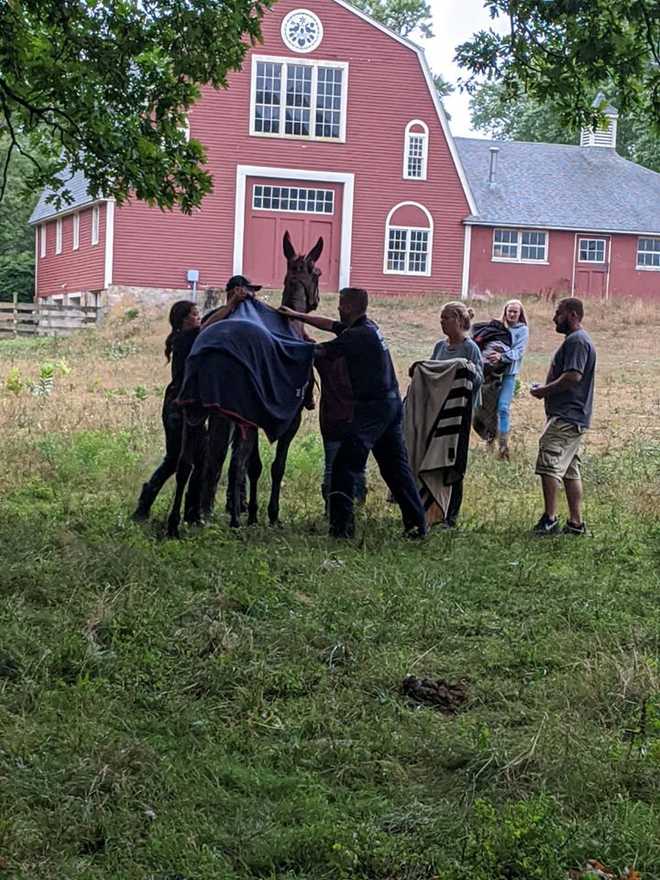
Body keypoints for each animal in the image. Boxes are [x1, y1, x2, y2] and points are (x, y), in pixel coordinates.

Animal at [168, 232, 322, 536]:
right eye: (318, 273)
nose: (316, 301)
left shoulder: (255, 418)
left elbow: (254, 466)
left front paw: (252, 512)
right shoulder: (288, 419)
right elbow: (274, 466)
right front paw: (269, 514)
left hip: (198, 411)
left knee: (190, 462)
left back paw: (179, 520)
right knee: (229, 463)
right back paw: (229, 519)